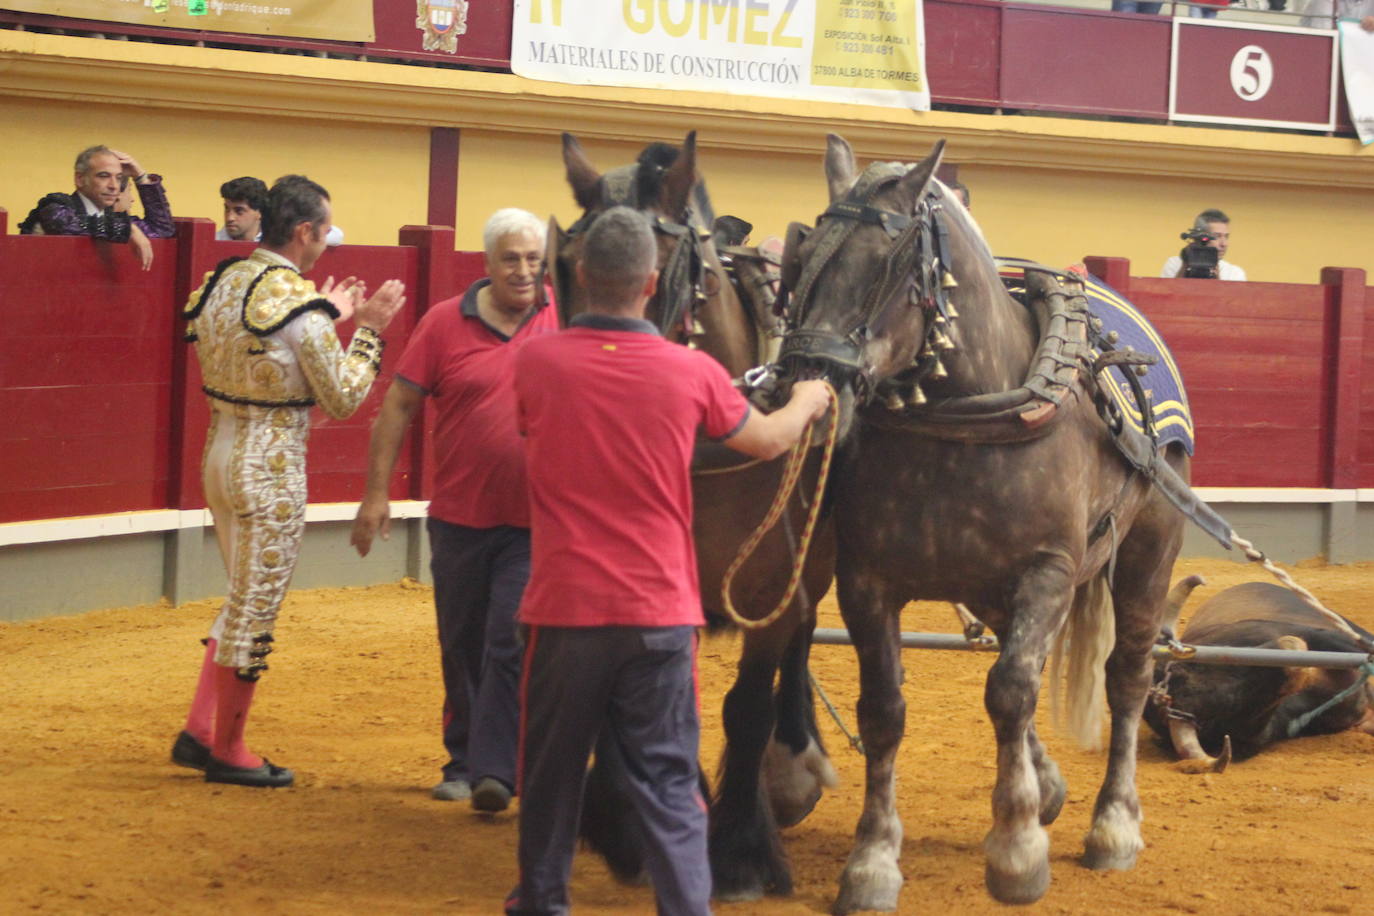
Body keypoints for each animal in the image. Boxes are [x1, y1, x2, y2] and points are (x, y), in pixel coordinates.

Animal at [774, 135, 1192, 911]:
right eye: (805, 253)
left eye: (888, 261)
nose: (807, 392)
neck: (964, 423)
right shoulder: (866, 581)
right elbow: (885, 709)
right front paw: (872, 861)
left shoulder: (1049, 571)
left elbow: (1011, 690)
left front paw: (1017, 849)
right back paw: (1050, 784)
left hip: (1149, 551)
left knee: (1126, 674)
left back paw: (1113, 825)